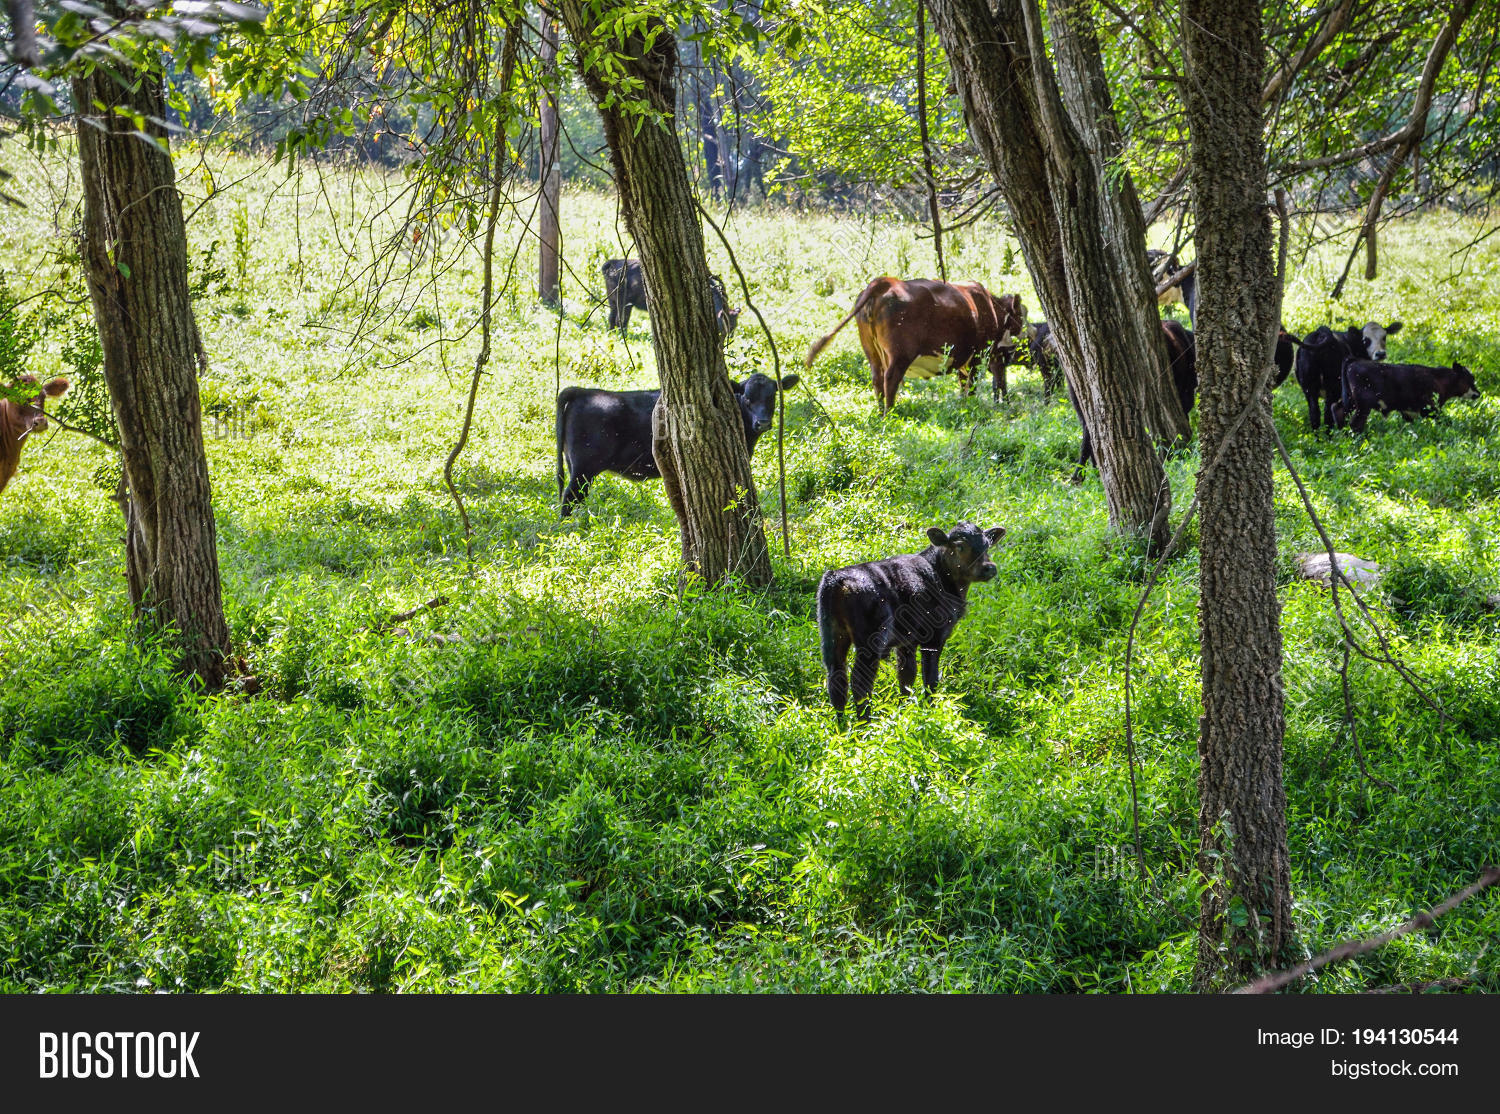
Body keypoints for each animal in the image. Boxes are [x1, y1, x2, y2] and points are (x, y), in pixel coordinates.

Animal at [556, 372, 798, 516]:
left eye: (772, 397)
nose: (763, 422)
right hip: (584, 470)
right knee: (569, 499)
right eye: (748, 398)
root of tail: (583, 391)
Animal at [601, 258, 740, 339]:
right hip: (623, 302)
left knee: (611, 318)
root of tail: (612, 263)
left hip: (612, 301)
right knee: (621, 320)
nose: (730, 338)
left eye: (735, 325)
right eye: (729, 324)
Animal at [805, 276, 1026, 412]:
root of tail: (885, 282)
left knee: (877, 379)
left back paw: (880, 412)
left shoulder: (966, 360)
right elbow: (972, 385)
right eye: (1021, 317)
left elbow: (965, 384)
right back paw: (889, 414)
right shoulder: (978, 355)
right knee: (890, 379)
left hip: (872, 352)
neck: (990, 306)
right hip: (900, 354)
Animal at [816, 521, 1005, 724]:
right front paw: (930, 710)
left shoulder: (907, 641)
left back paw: (841, 725)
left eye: (987, 545)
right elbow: (930, 678)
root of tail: (837, 578)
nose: (989, 568)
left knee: (836, 678)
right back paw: (865, 724)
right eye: (960, 546)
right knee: (860, 682)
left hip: (832, 635)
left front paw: (904, 710)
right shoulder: (935, 637)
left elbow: (906, 676)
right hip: (870, 642)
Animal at [1332, 359, 1480, 433]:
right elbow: (1446, 420)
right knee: (1355, 423)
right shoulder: (1428, 407)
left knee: (1337, 409)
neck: (1437, 378)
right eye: (1470, 378)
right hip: (1363, 405)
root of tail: (1353, 363)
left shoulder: (1408, 411)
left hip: (1350, 400)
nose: (1478, 394)